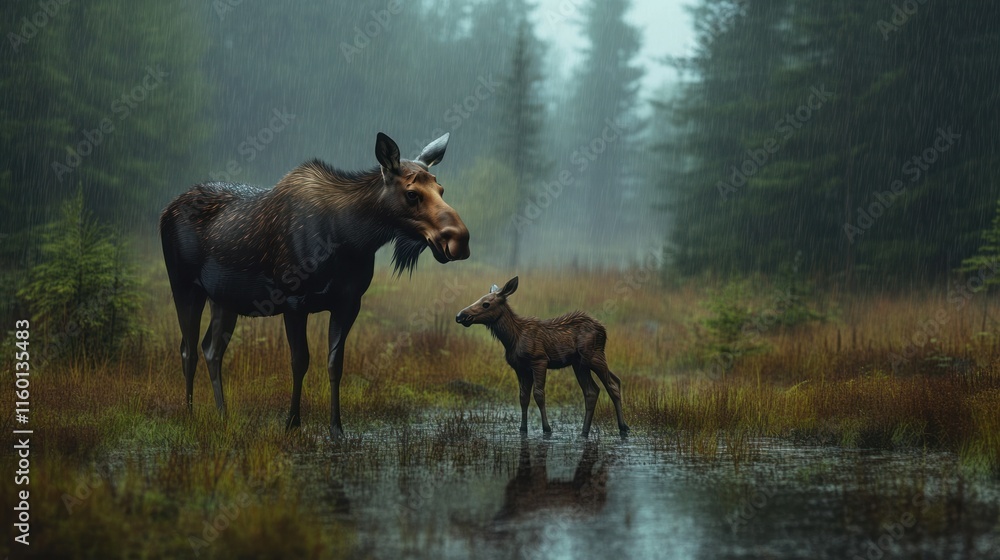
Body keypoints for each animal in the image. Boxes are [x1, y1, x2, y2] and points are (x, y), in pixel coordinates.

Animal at [455, 277, 629, 437]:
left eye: (486, 303)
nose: (460, 316)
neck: (512, 339)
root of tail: (603, 330)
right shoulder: (520, 368)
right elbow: (523, 397)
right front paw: (523, 429)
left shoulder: (539, 360)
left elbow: (539, 395)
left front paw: (547, 429)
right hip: (580, 363)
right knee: (593, 390)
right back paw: (584, 432)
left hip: (594, 355)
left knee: (612, 384)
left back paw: (623, 428)